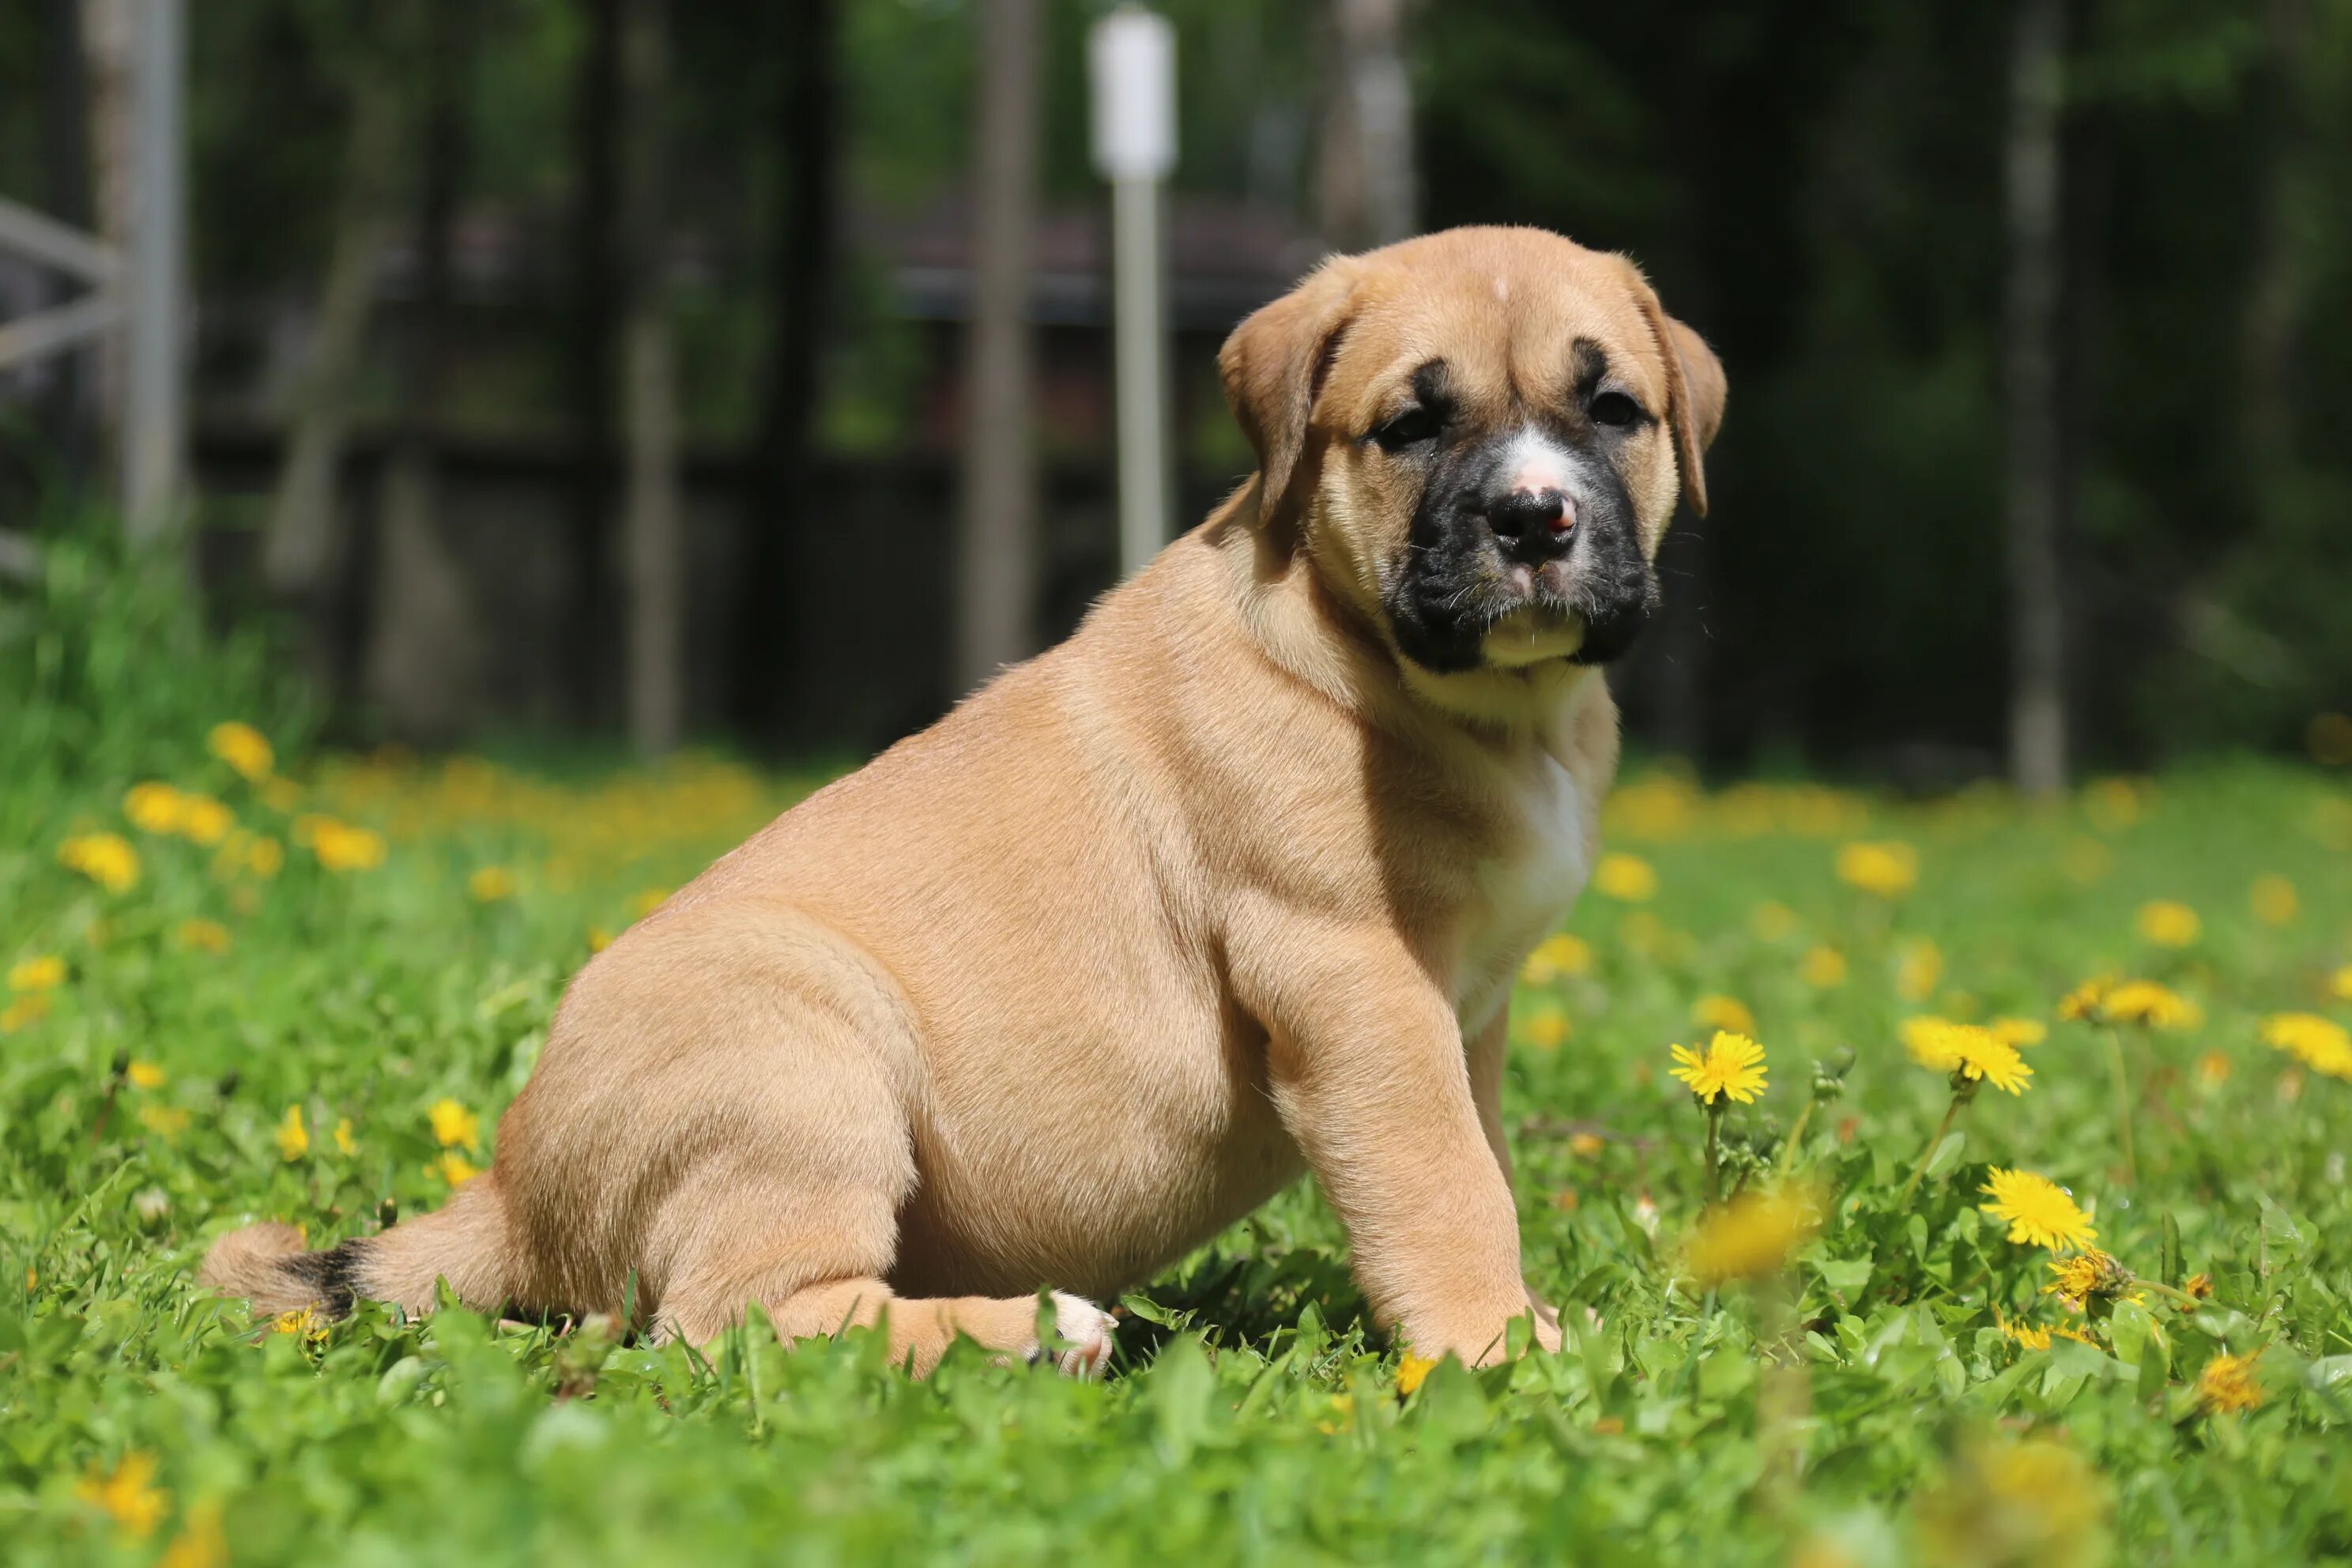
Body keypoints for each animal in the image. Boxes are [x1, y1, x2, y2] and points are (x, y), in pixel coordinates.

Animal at [206, 227, 1731, 1382]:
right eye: (1411, 425)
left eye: (1614, 411)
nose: (1534, 519)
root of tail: (516, 1184)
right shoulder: (1356, 979)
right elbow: (1441, 1177)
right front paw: (1494, 1345)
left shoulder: (1464, 1010)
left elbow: (1483, 1162)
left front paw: (1515, 1315)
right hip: (801, 1063)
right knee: (739, 1317)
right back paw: (1040, 1330)